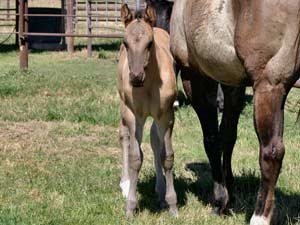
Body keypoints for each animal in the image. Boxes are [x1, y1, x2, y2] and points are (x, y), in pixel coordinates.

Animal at [117, 3, 178, 217]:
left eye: (149, 43)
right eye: (126, 43)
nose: (135, 77)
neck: (150, 84)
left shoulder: (166, 116)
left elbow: (166, 156)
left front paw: (172, 205)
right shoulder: (135, 115)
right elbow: (136, 157)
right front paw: (130, 207)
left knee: (154, 139)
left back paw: (160, 190)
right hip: (125, 109)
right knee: (124, 136)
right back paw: (126, 184)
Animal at [170, 0, 300, 225]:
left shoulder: (194, 76)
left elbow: (212, 139)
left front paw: (219, 201)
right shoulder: (233, 84)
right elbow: (228, 136)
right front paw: (229, 196)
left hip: (269, 86)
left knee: (271, 151)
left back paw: (259, 217)